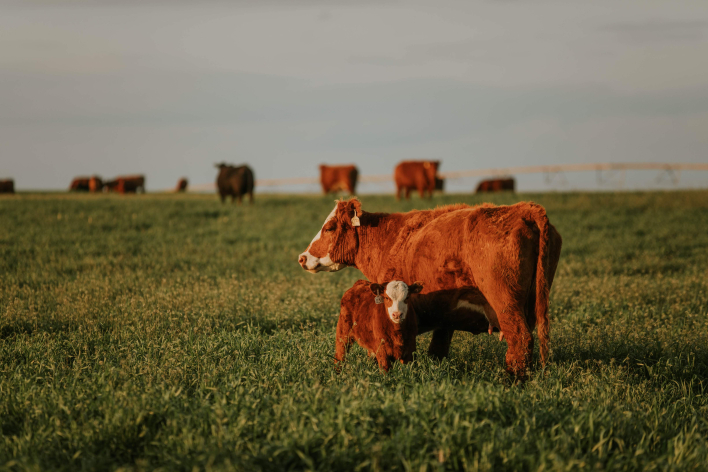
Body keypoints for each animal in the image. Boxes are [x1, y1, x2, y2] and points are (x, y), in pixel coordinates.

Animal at [298, 198, 562, 378]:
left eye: (330, 227)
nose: (303, 257)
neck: (389, 239)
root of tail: (524, 209)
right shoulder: (446, 316)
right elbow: (437, 349)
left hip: (507, 306)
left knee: (520, 340)